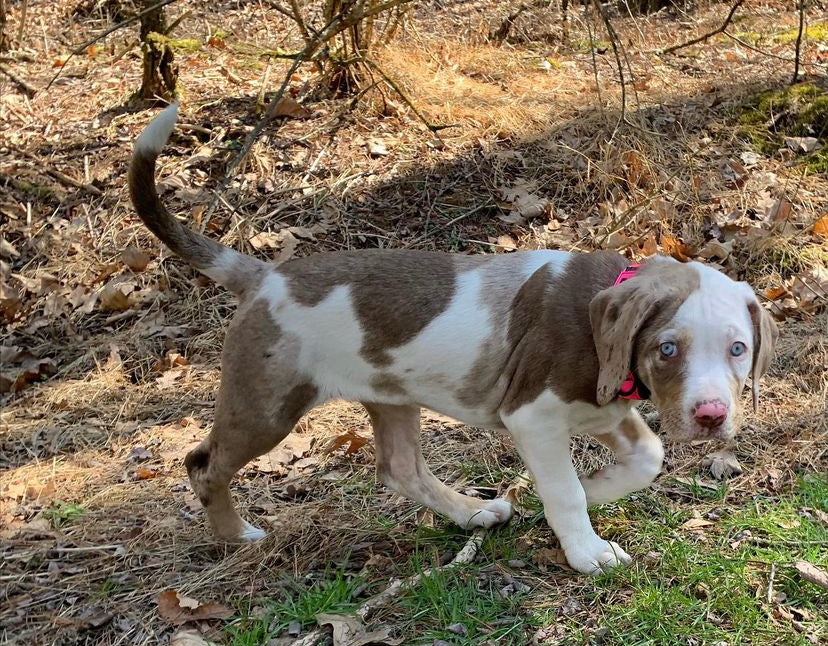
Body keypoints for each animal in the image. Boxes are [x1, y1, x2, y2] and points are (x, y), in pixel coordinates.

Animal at [128, 105, 776, 576]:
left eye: (738, 349)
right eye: (667, 349)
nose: (713, 417)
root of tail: (263, 276)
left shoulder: (602, 410)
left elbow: (647, 456)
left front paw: (598, 491)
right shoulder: (534, 415)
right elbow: (562, 488)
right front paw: (586, 547)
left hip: (389, 395)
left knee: (399, 469)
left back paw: (471, 512)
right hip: (265, 404)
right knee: (203, 463)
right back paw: (237, 536)